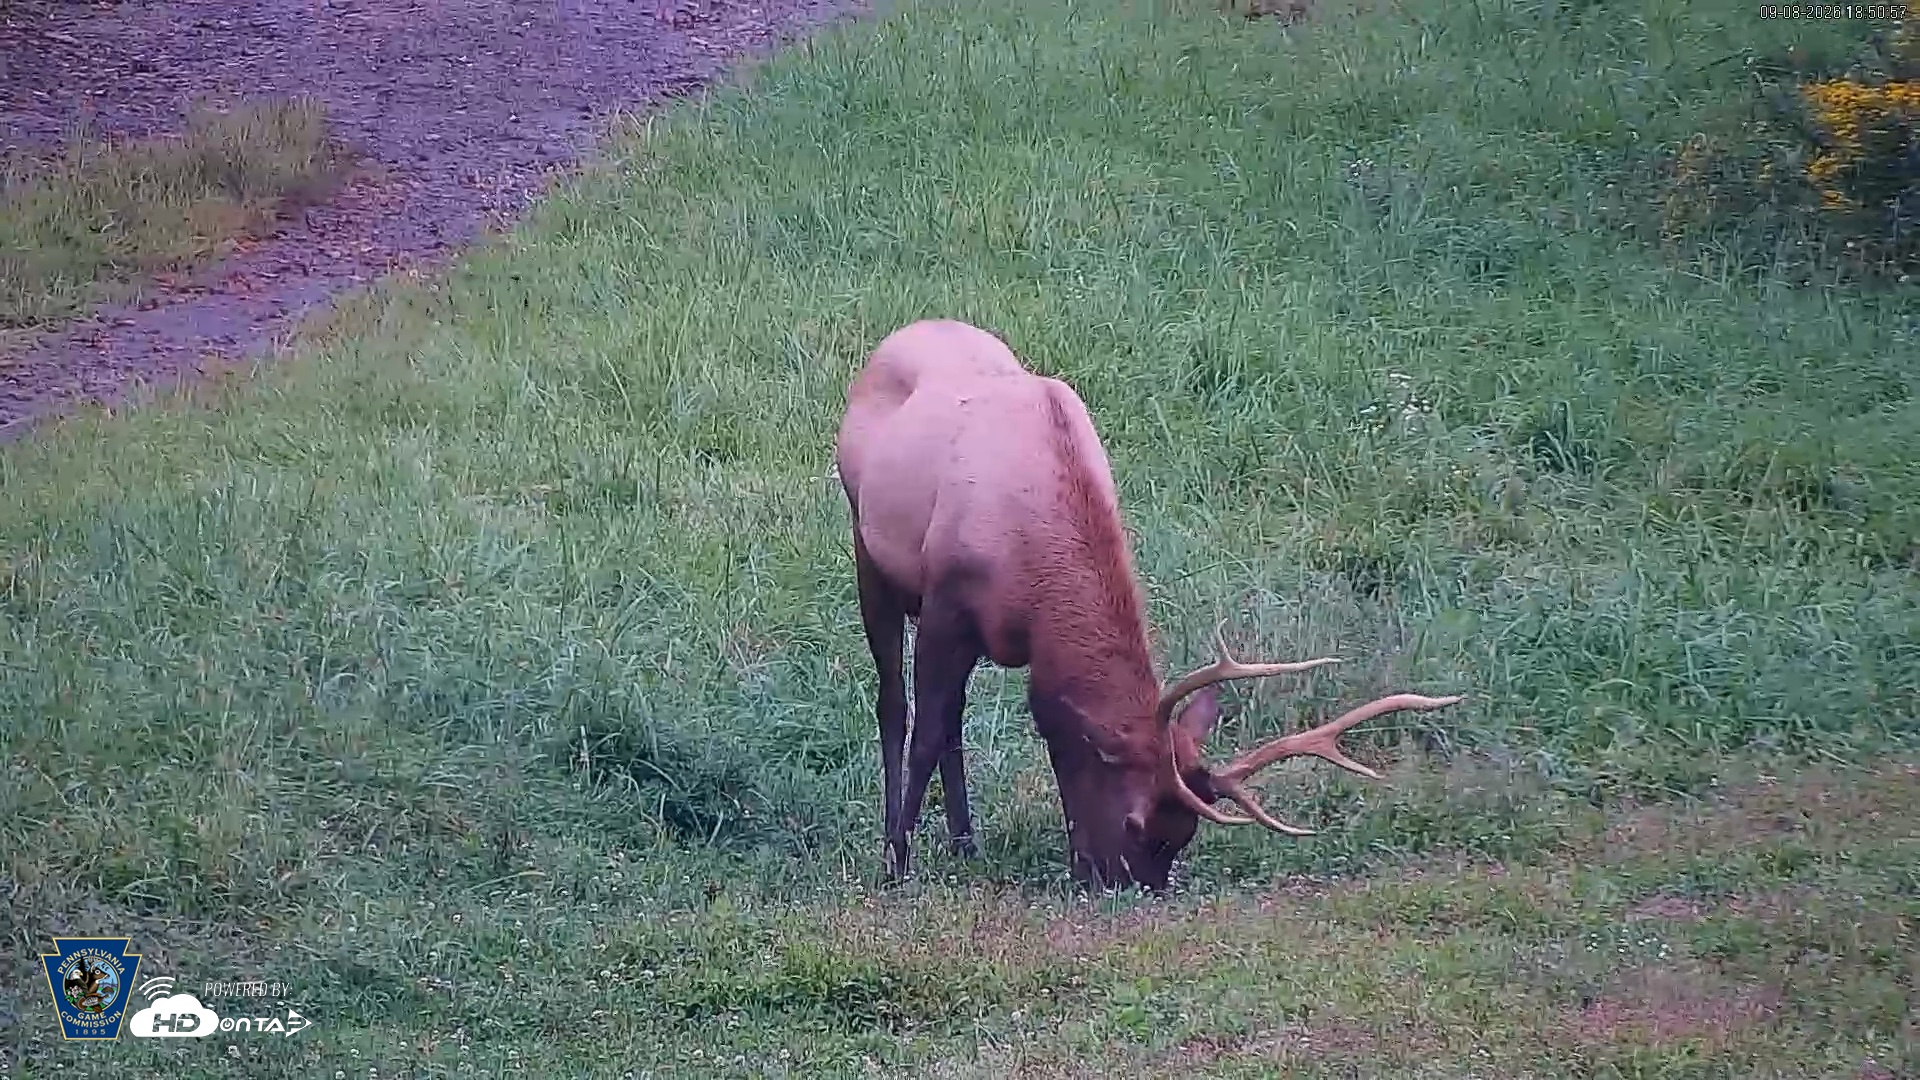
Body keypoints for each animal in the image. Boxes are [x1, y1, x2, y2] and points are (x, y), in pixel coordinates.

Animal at [834, 319, 1463, 891]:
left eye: (1184, 836)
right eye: (1138, 826)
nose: (1129, 885)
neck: (1030, 576)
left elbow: (998, 726)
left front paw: (969, 845)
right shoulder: (946, 606)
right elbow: (924, 731)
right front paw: (896, 862)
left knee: (953, 722)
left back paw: (965, 844)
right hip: (868, 551)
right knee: (893, 703)